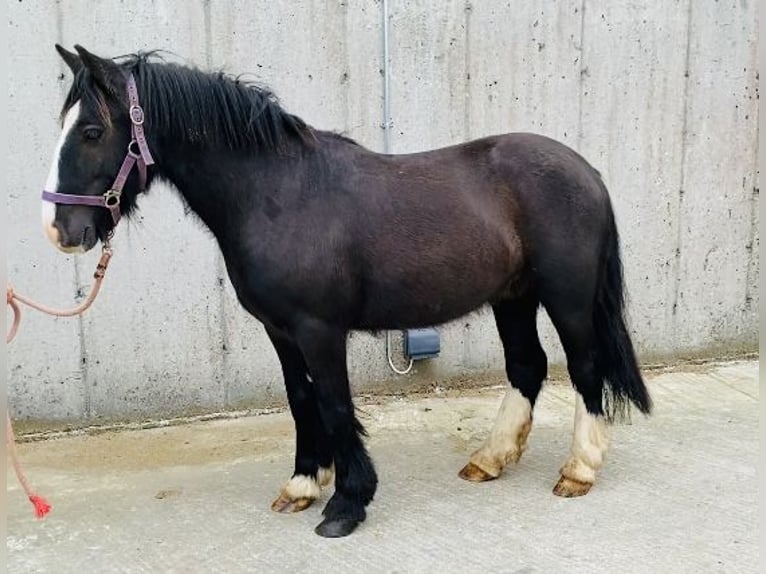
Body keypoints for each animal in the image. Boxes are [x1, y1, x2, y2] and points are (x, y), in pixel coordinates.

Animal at [42, 46, 652, 540]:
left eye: (92, 132)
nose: (61, 231)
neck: (278, 194)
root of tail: (587, 172)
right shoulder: (280, 330)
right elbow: (300, 400)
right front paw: (302, 485)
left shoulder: (318, 329)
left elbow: (335, 404)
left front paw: (345, 504)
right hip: (513, 296)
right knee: (527, 365)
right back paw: (490, 459)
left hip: (567, 298)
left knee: (585, 367)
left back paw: (579, 470)